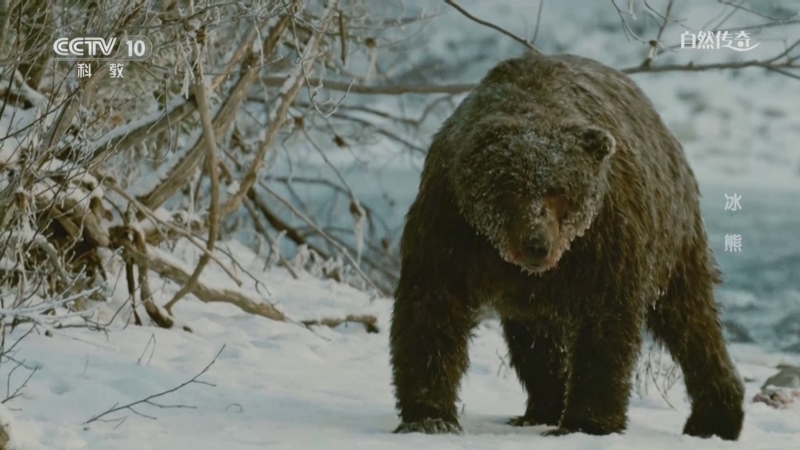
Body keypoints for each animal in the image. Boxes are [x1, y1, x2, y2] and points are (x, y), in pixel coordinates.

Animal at [388, 50, 745, 440]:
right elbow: (432, 308)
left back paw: (715, 417)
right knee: (534, 338)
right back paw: (542, 408)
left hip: (672, 239)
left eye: (559, 192)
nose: (536, 244)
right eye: (511, 190)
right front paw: (430, 416)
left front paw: (588, 421)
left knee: (691, 320)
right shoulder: (451, 226)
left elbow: (605, 323)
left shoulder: (605, 239)